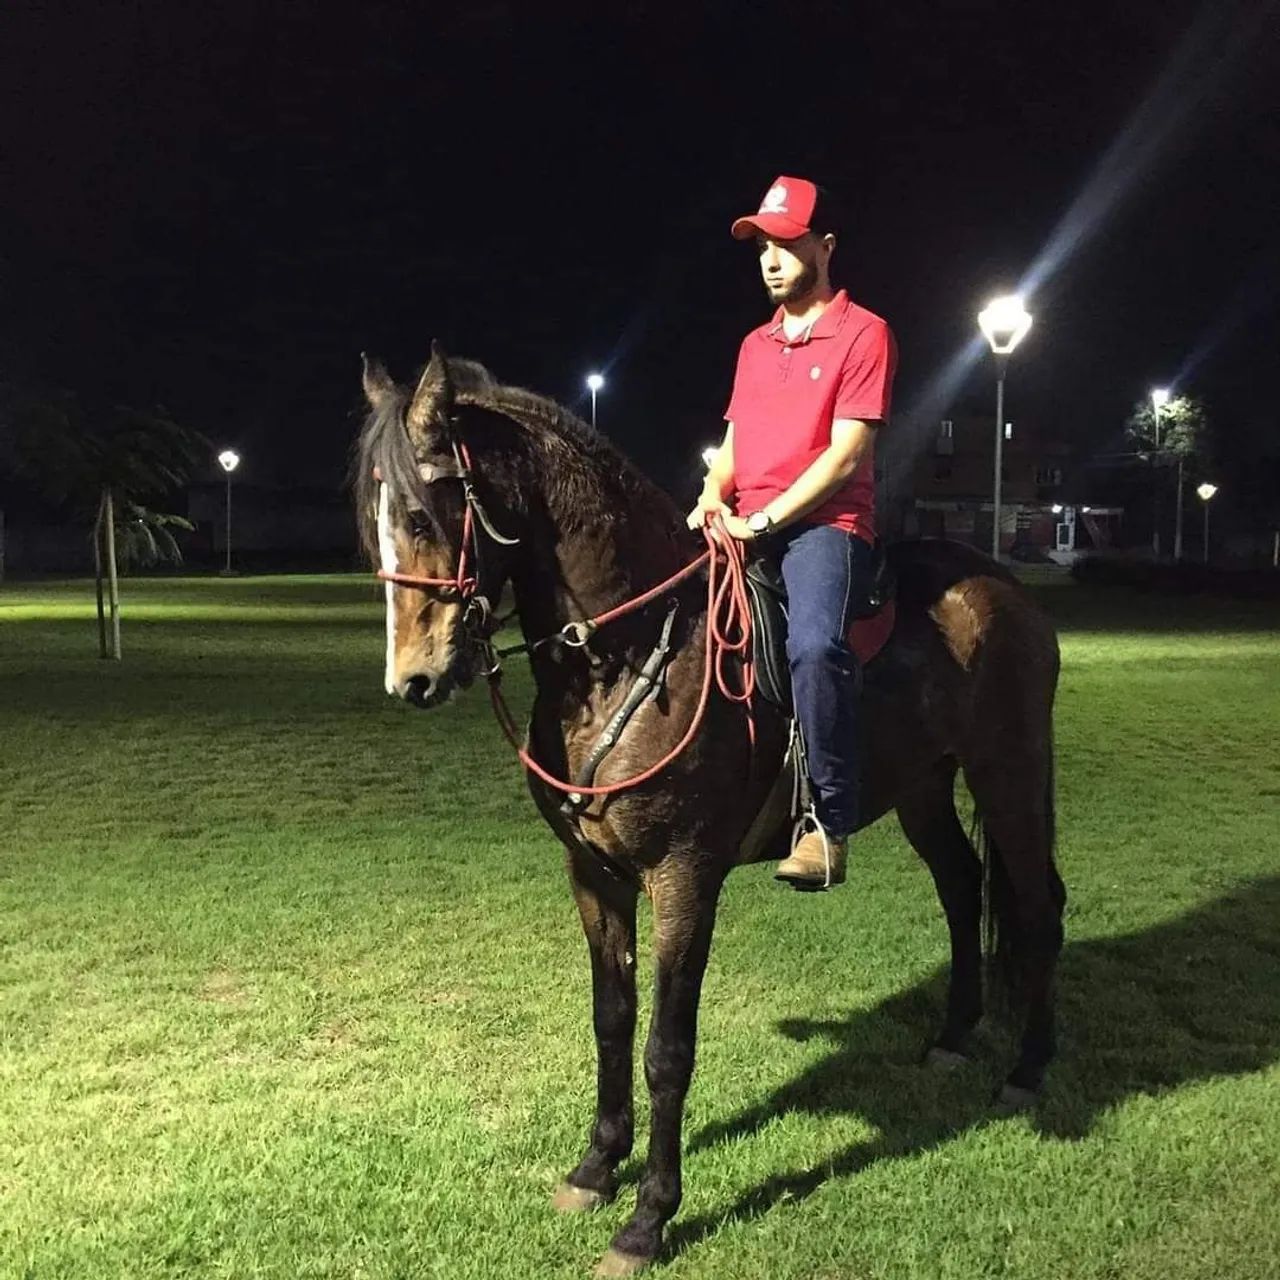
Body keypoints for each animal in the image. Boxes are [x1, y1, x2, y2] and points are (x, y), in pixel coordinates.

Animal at [353, 344, 1065, 1277]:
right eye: (369, 522)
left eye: (423, 511)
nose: (413, 680)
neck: (630, 651)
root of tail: (1006, 590)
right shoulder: (595, 874)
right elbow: (612, 1020)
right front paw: (595, 1167)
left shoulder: (684, 876)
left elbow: (667, 1047)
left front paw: (650, 1218)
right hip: (922, 788)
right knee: (960, 885)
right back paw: (952, 1037)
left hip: (1011, 771)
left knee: (1038, 908)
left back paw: (1028, 1071)